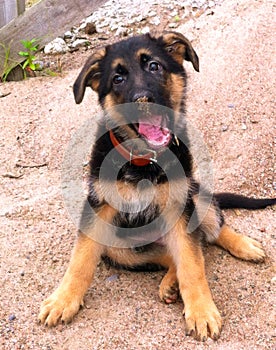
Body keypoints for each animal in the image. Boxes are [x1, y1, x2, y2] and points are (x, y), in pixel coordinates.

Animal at [38, 32, 276, 340]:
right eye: (117, 78)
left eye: (154, 66)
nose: (142, 100)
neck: (143, 160)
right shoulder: (98, 208)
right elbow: (80, 259)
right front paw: (63, 299)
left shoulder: (179, 206)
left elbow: (192, 264)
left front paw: (201, 311)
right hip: (120, 248)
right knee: (170, 255)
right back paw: (170, 282)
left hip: (195, 195)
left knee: (210, 232)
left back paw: (243, 246)